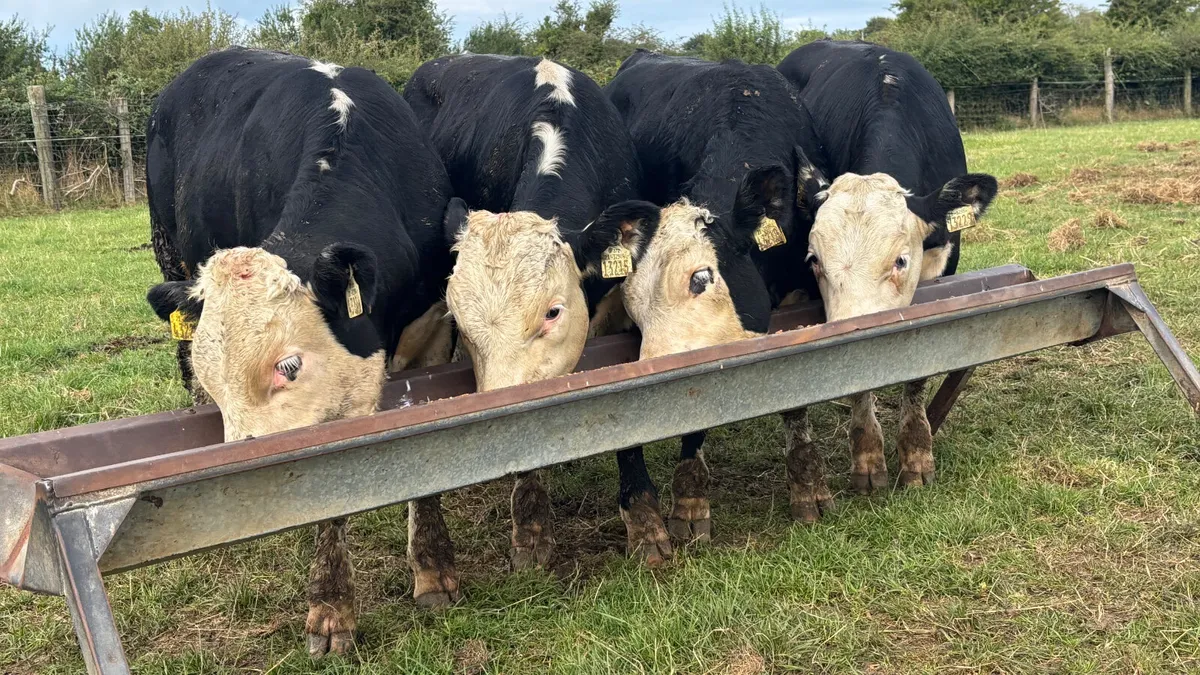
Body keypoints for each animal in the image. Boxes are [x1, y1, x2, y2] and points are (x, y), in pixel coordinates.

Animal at [143, 47, 458, 658]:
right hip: (170, 256)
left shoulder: (431, 331)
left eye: (288, 366)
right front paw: (332, 611)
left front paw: (433, 571)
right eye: (218, 382)